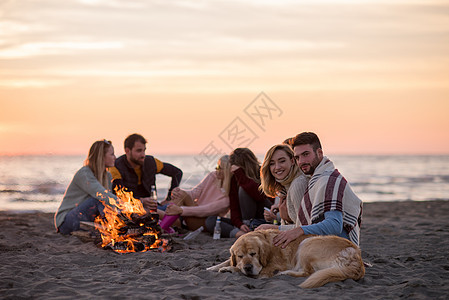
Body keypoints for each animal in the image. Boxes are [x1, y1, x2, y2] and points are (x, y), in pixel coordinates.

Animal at [206, 230, 364, 288]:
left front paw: (230, 269)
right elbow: (228, 260)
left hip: (307, 243)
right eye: (240, 256)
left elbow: (245, 271)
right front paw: (212, 267)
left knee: (308, 272)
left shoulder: (269, 268)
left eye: (253, 254)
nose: (248, 267)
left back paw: (284, 273)